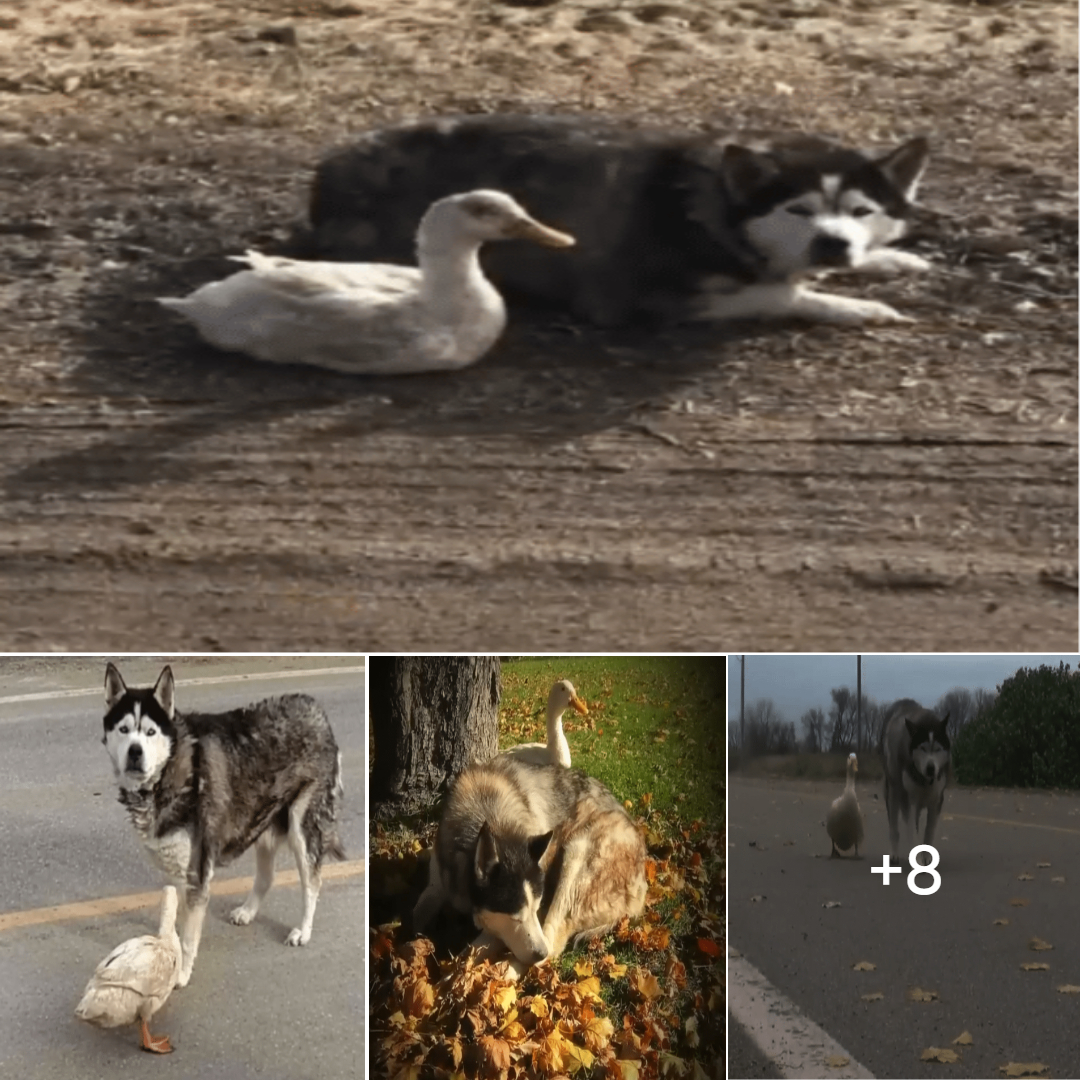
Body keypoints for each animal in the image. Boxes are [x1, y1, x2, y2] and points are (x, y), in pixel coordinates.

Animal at [103, 660, 343, 984]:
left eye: (150, 732)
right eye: (124, 730)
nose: (135, 751)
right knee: (267, 877)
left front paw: (181, 974)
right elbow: (175, 919)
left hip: (302, 826)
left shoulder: (197, 870)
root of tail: (315, 708)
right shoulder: (177, 866)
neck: (170, 771)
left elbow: (188, 936)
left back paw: (303, 931)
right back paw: (248, 911)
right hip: (262, 819)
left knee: (312, 882)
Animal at [311, 112, 928, 328]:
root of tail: (329, 169)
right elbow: (780, 293)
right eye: (797, 209)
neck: (706, 201)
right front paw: (855, 306)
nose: (833, 244)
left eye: (861, 212)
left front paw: (889, 258)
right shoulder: (634, 297)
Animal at [412, 751, 643, 980]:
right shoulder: (437, 883)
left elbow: (469, 953)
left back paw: (505, 976)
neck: (487, 808)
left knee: (552, 940)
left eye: (536, 908)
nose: (540, 953)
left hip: (578, 852)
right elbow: (415, 917)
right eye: (515, 918)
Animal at [881, 699, 950, 859]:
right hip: (894, 790)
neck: (925, 779)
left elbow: (928, 834)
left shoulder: (936, 801)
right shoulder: (909, 800)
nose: (931, 768)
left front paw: (927, 859)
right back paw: (893, 854)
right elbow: (913, 833)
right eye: (922, 748)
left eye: (937, 749)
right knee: (894, 826)